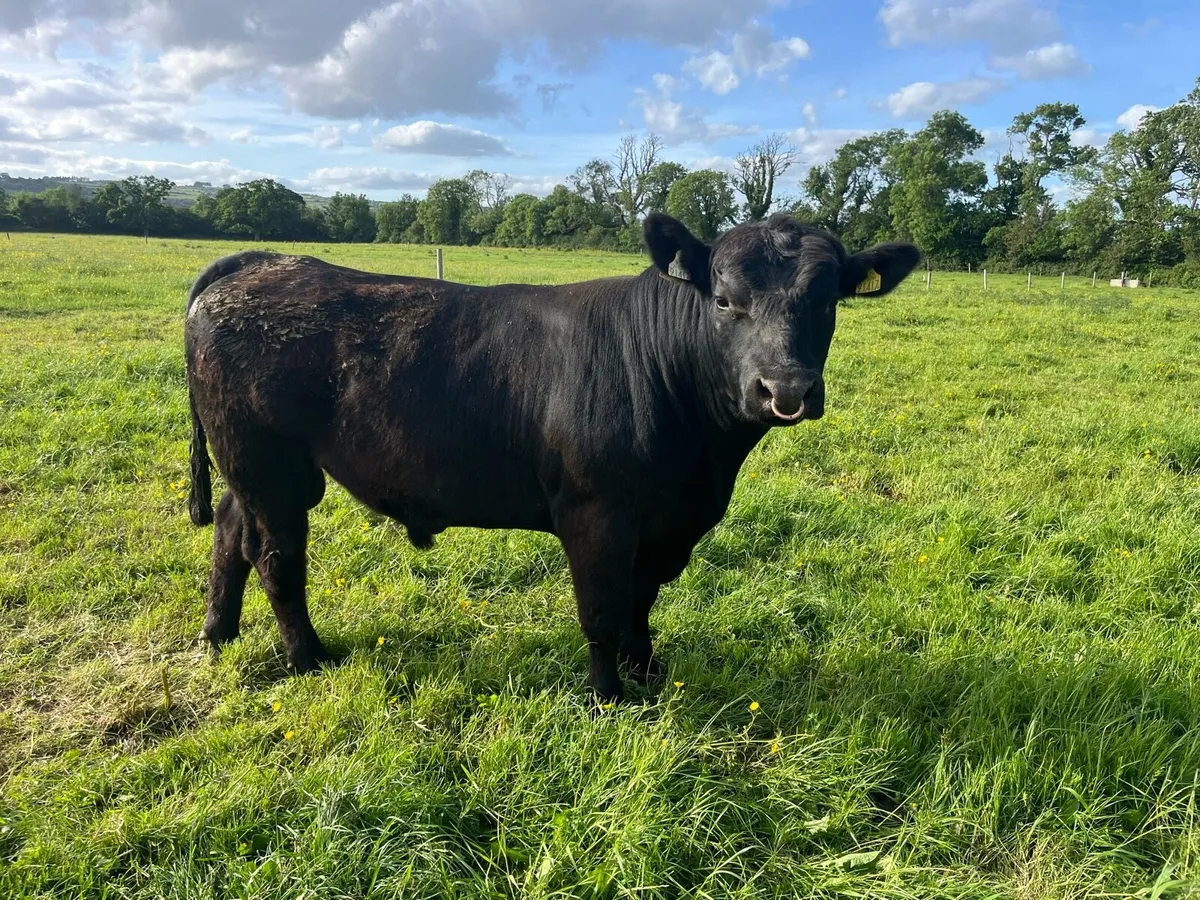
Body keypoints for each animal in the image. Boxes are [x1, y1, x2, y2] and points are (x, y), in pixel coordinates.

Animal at [184, 212, 921, 701]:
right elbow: (601, 609)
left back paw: (218, 634)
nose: (785, 389)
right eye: (723, 299)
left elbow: (641, 600)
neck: (704, 461)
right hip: (274, 469)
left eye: (826, 301)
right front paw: (608, 695)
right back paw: (309, 658)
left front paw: (646, 670)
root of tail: (267, 262)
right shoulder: (596, 514)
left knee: (228, 533)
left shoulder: (667, 524)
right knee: (275, 558)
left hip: (247, 467)